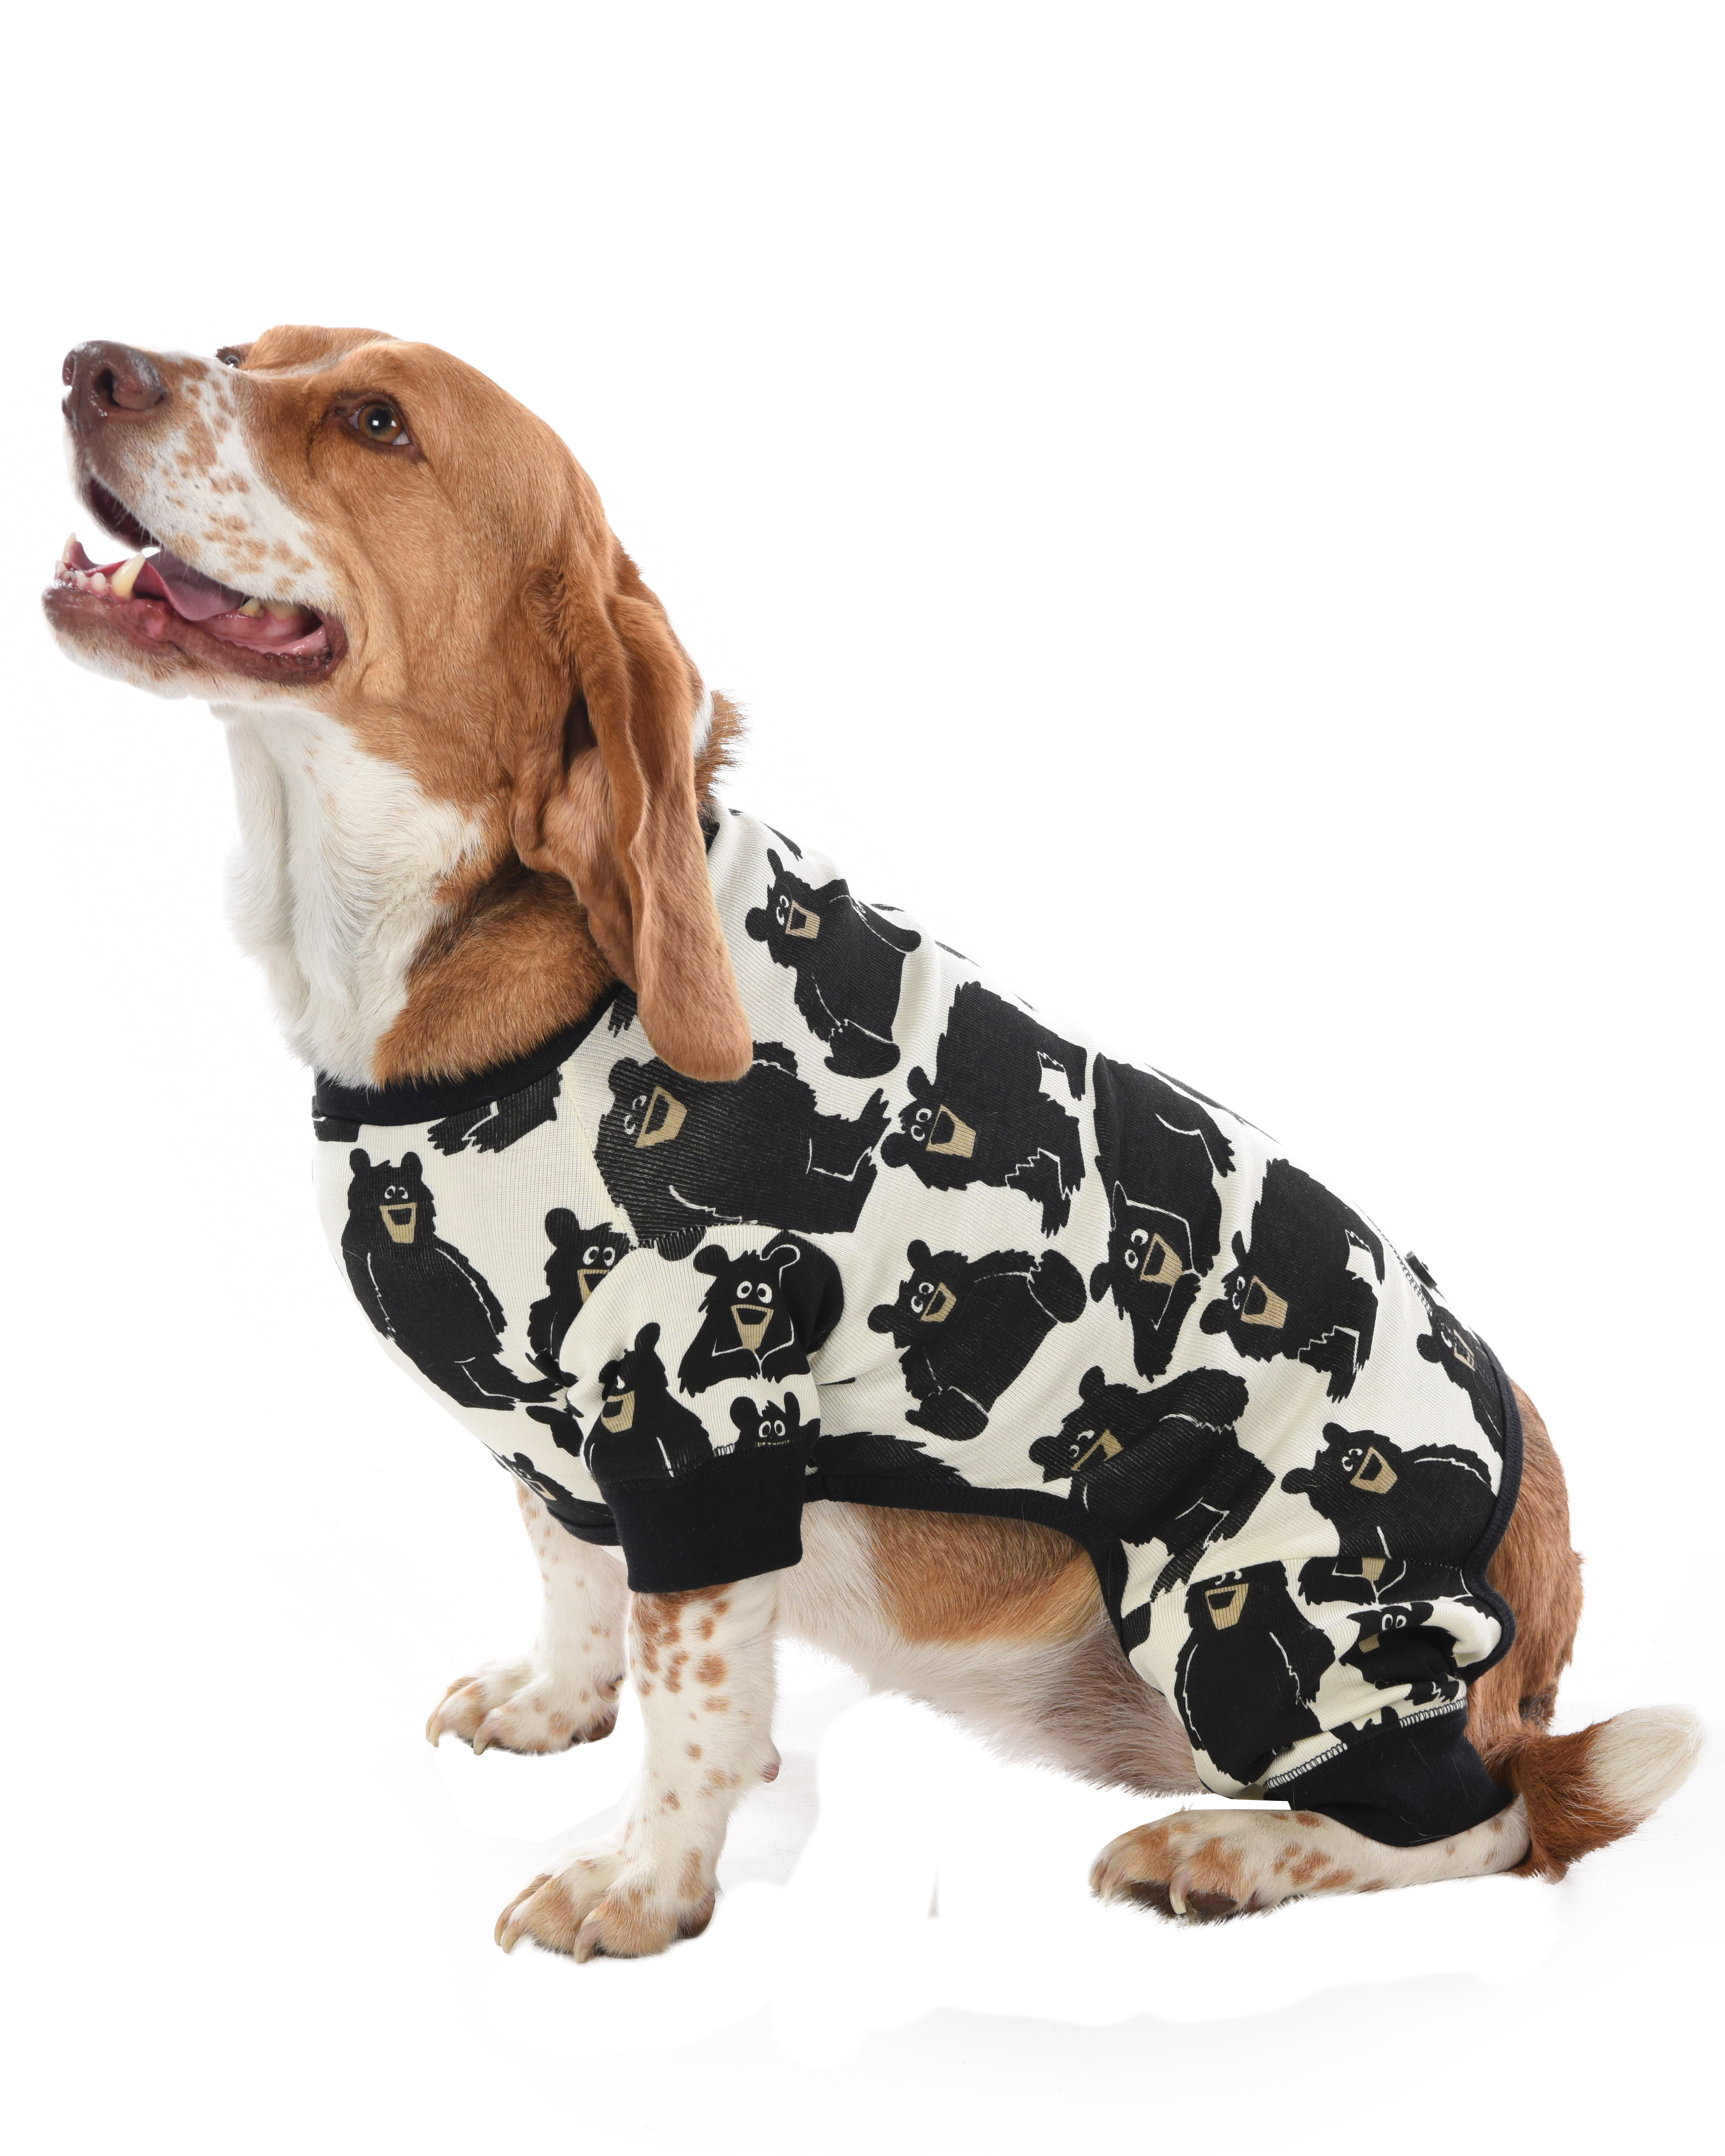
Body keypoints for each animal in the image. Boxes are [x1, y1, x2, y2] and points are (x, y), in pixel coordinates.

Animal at [341, 1150, 560, 1411]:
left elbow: (466, 1267)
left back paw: (529, 1392)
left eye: (404, 1189)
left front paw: (497, 1314)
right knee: (449, 1374)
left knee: (484, 1365)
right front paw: (385, 1326)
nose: (396, 1191)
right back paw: (494, 1402)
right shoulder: (356, 1252)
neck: (404, 1248)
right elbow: (366, 1285)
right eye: (383, 1191)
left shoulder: (440, 1246)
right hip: (429, 1347)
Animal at [867, 1239, 1086, 1441]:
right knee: (960, 1411)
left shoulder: (1004, 1280)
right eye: (916, 1304)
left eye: (926, 1287)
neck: (959, 1315)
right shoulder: (926, 1357)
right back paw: (926, 1413)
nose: (935, 1302)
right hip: (968, 1394)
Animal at [879, 980, 1088, 1234]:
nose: (943, 1129)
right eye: (918, 1134)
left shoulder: (1028, 1112)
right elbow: (1040, 1178)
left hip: (1019, 1027)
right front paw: (1056, 1212)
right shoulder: (1009, 1169)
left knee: (1057, 1047)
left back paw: (1078, 1077)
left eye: (924, 1115)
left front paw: (1072, 1176)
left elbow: (1066, 1129)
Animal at [1088, 1056, 1236, 1381]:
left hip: (1161, 1102)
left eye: (1139, 1238)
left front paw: (1205, 1256)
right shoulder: (1148, 1336)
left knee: (1196, 1117)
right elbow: (1154, 1351)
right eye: (1131, 1259)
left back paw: (1221, 1150)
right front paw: (1188, 1285)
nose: (1153, 1260)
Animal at [1199, 1157, 1385, 1400]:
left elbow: (1368, 1307)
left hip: (1329, 1207)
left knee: (1367, 1237)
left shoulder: (1339, 1295)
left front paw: (1356, 1366)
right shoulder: (1311, 1344)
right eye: (1237, 1301)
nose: (1254, 1299)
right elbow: (1341, 1348)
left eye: (1241, 1285)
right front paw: (1340, 1383)